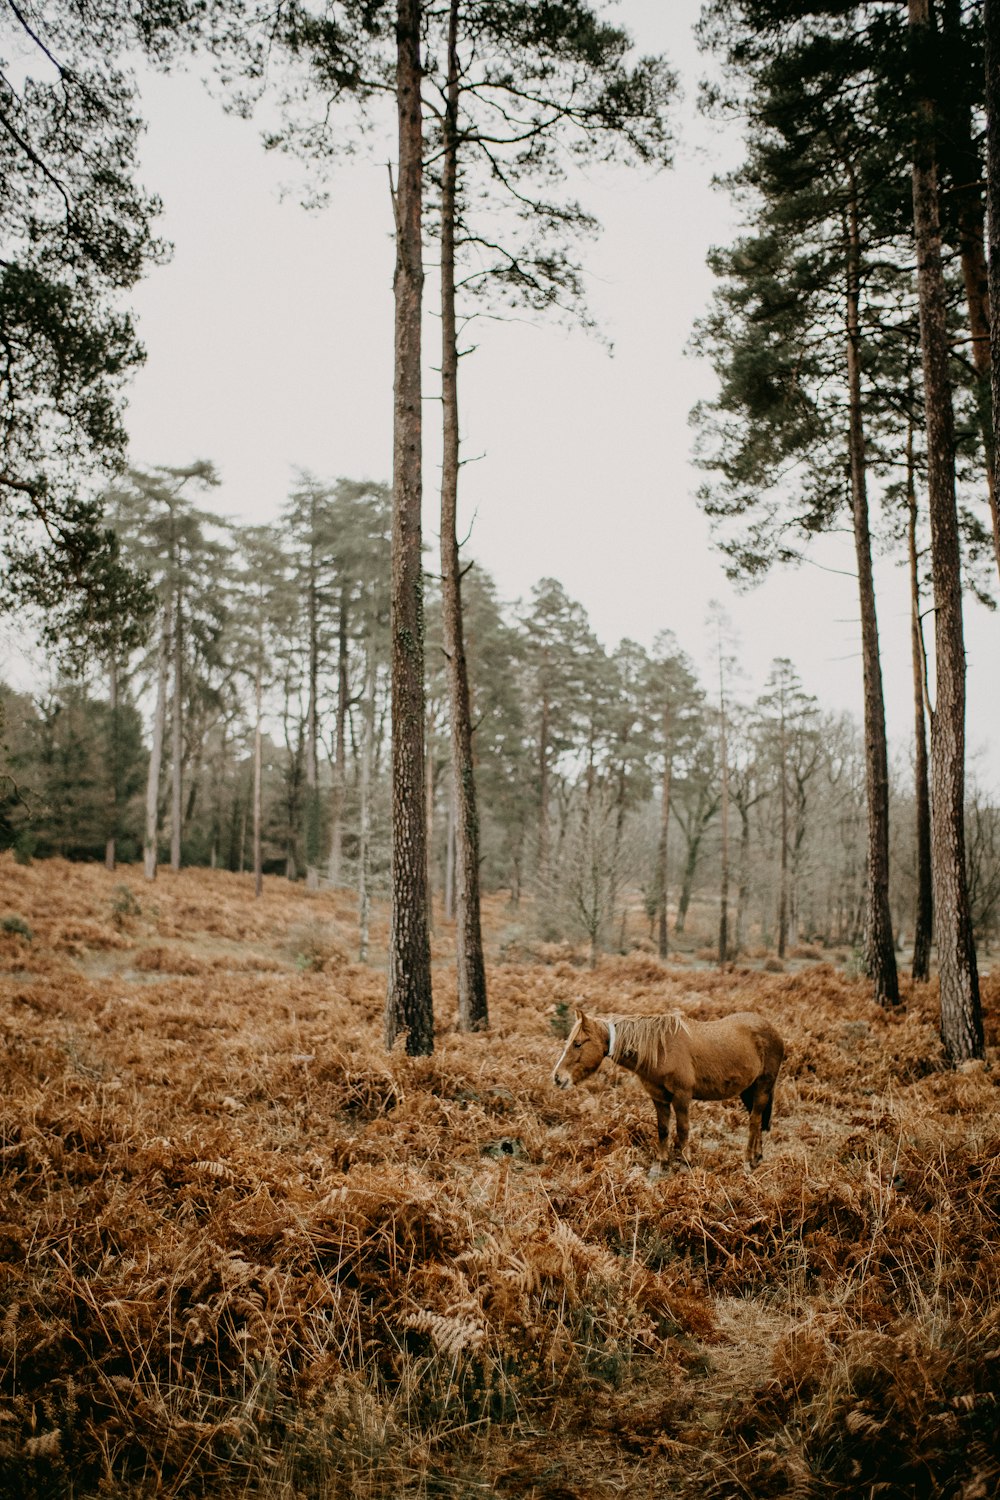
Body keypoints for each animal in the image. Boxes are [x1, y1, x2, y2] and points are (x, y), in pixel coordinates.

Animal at [551, 1002, 785, 1176]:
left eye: (578, 1043)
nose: (557, 1077)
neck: (660, 1049)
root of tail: (771, 1029)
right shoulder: (659, 1097)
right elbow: (663, 1129)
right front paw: (659, 1164)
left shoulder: (682, 1096)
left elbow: (682, 1130)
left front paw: (685, 1163)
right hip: (748, 1091)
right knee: (758, 1120)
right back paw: (757, 1157)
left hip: (763, 1087)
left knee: (754, 1121)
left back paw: (748, 1161)